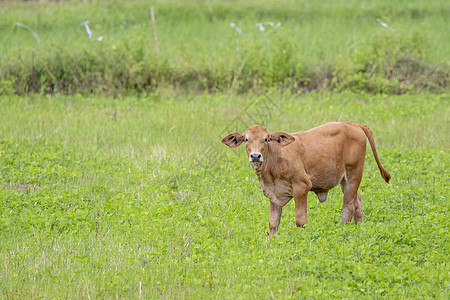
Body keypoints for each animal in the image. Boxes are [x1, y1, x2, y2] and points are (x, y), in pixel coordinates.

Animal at [222, 122, 390, 237]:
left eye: (266, 139)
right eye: (246, 139)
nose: (255, 156)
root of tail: (352, 125)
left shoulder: (301, 188)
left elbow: (300, 220)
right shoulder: (273, 195)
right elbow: (273, 222)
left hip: (353, 174)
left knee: (348, 207)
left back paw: (343, 231)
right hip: (345, 180)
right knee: (358, 202)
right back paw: (358, 228)